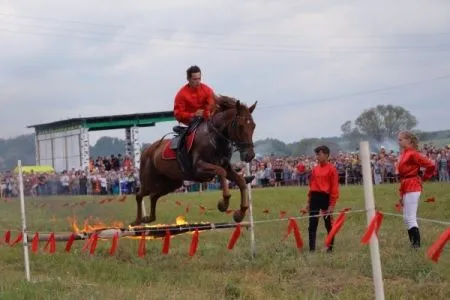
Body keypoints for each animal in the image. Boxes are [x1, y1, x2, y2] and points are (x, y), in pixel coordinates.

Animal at [130, 95, 256, 226]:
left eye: (253, 126)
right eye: (240, 126)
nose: (250, 155)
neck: (214, 139)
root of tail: (146, 152)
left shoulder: (227, 168)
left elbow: (241, 181)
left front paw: (240, 213)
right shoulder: (200, 168)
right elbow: (221, 172)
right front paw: (223, 204)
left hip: (171, 183)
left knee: (153, 196)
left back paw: (148, 218)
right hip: (149, 182)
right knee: (139, 195)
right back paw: (137, 220)